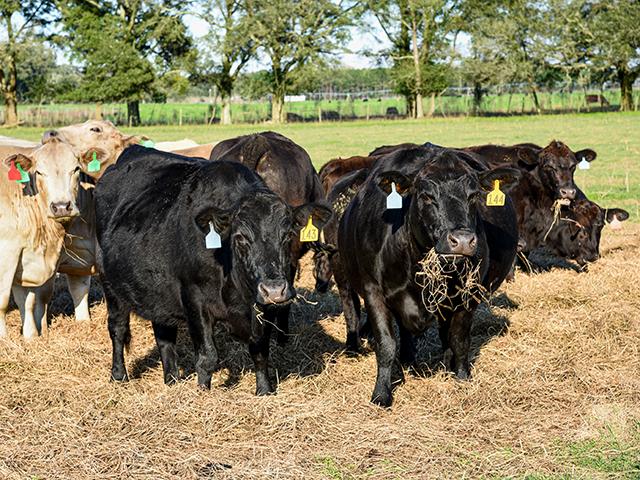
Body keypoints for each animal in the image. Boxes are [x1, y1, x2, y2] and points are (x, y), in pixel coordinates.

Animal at [0, 137, 103, 338]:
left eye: (76, 169)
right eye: (39, 172)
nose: (61, 206)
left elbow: (32, 300)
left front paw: (33, 337)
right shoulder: (8, 254)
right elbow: (4, 301)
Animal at [336, 145, 521, 406]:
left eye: (473, 195)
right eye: (426, 196)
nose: (462, 240)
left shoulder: (469, 295)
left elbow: (459, 339)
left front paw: (461, 378)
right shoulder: (373, 292)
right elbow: (386, 343)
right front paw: (382, 393)